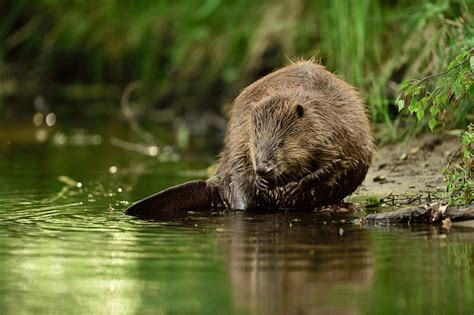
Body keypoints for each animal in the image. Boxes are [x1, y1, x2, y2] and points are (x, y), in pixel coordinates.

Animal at [125, 59, 374, 217]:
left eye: (281, 143)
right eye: (256, 143)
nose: (263, 169)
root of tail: (213, 183)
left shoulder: (336, 130)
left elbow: (335, 164)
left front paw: (295, 187)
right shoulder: (245, 133)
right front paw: (265, 183)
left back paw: (339, 207)